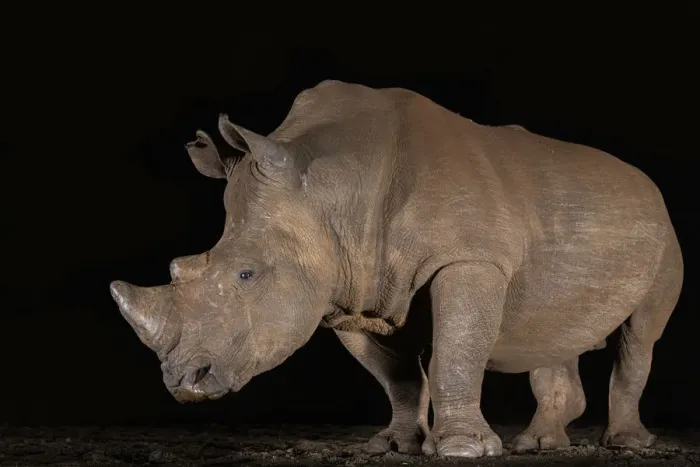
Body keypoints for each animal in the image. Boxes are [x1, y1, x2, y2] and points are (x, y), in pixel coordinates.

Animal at [110, 80, 683, 458]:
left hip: (664, 230)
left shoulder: (469, 257)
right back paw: (538, 443)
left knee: (639, 336)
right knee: (554, 327)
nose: (184, 381)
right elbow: (397, 377)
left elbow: (456, 350)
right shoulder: (349, 289)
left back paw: (627, 443)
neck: (331, 189)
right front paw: (392, 445)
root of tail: (646, 185)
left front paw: (463, 450)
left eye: (247, 275)